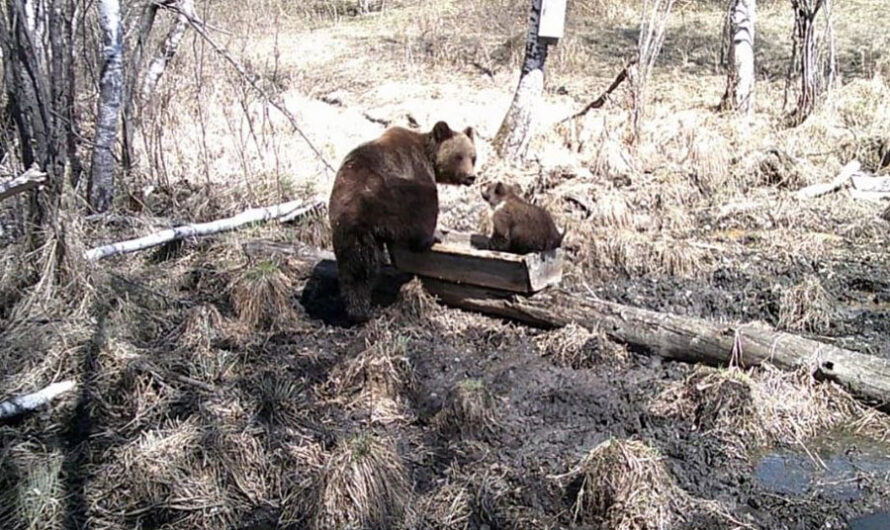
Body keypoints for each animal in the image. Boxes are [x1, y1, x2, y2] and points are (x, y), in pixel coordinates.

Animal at [330, 120, 476, 322]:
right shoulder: (415, 167)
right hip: (394, 198)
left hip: (346, 224)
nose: (471, 177)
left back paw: (357, 309)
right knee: (426, 204)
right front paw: (437, 234)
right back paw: (430, 239)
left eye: (473, 157)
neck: (429, 157)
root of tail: (356, 210)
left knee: (356, 265)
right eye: (459, 156)